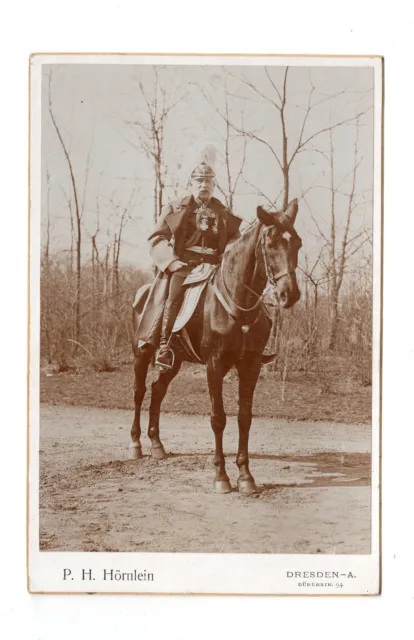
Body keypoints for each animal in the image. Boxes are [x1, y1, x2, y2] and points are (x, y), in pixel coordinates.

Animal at [129, 200, 300, 496]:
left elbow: (244, 417)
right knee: (140, 391)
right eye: (271, 243)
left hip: (174, 361)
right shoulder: (215, 365)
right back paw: (136, 444)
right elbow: (218, 418)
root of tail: (143, 292)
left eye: (298, 244)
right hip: (143, 352)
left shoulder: (251, 366)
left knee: (158, 389)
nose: (289, 294)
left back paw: (157, 445)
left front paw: (245, 476)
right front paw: (221, 476)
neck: (236, 304)